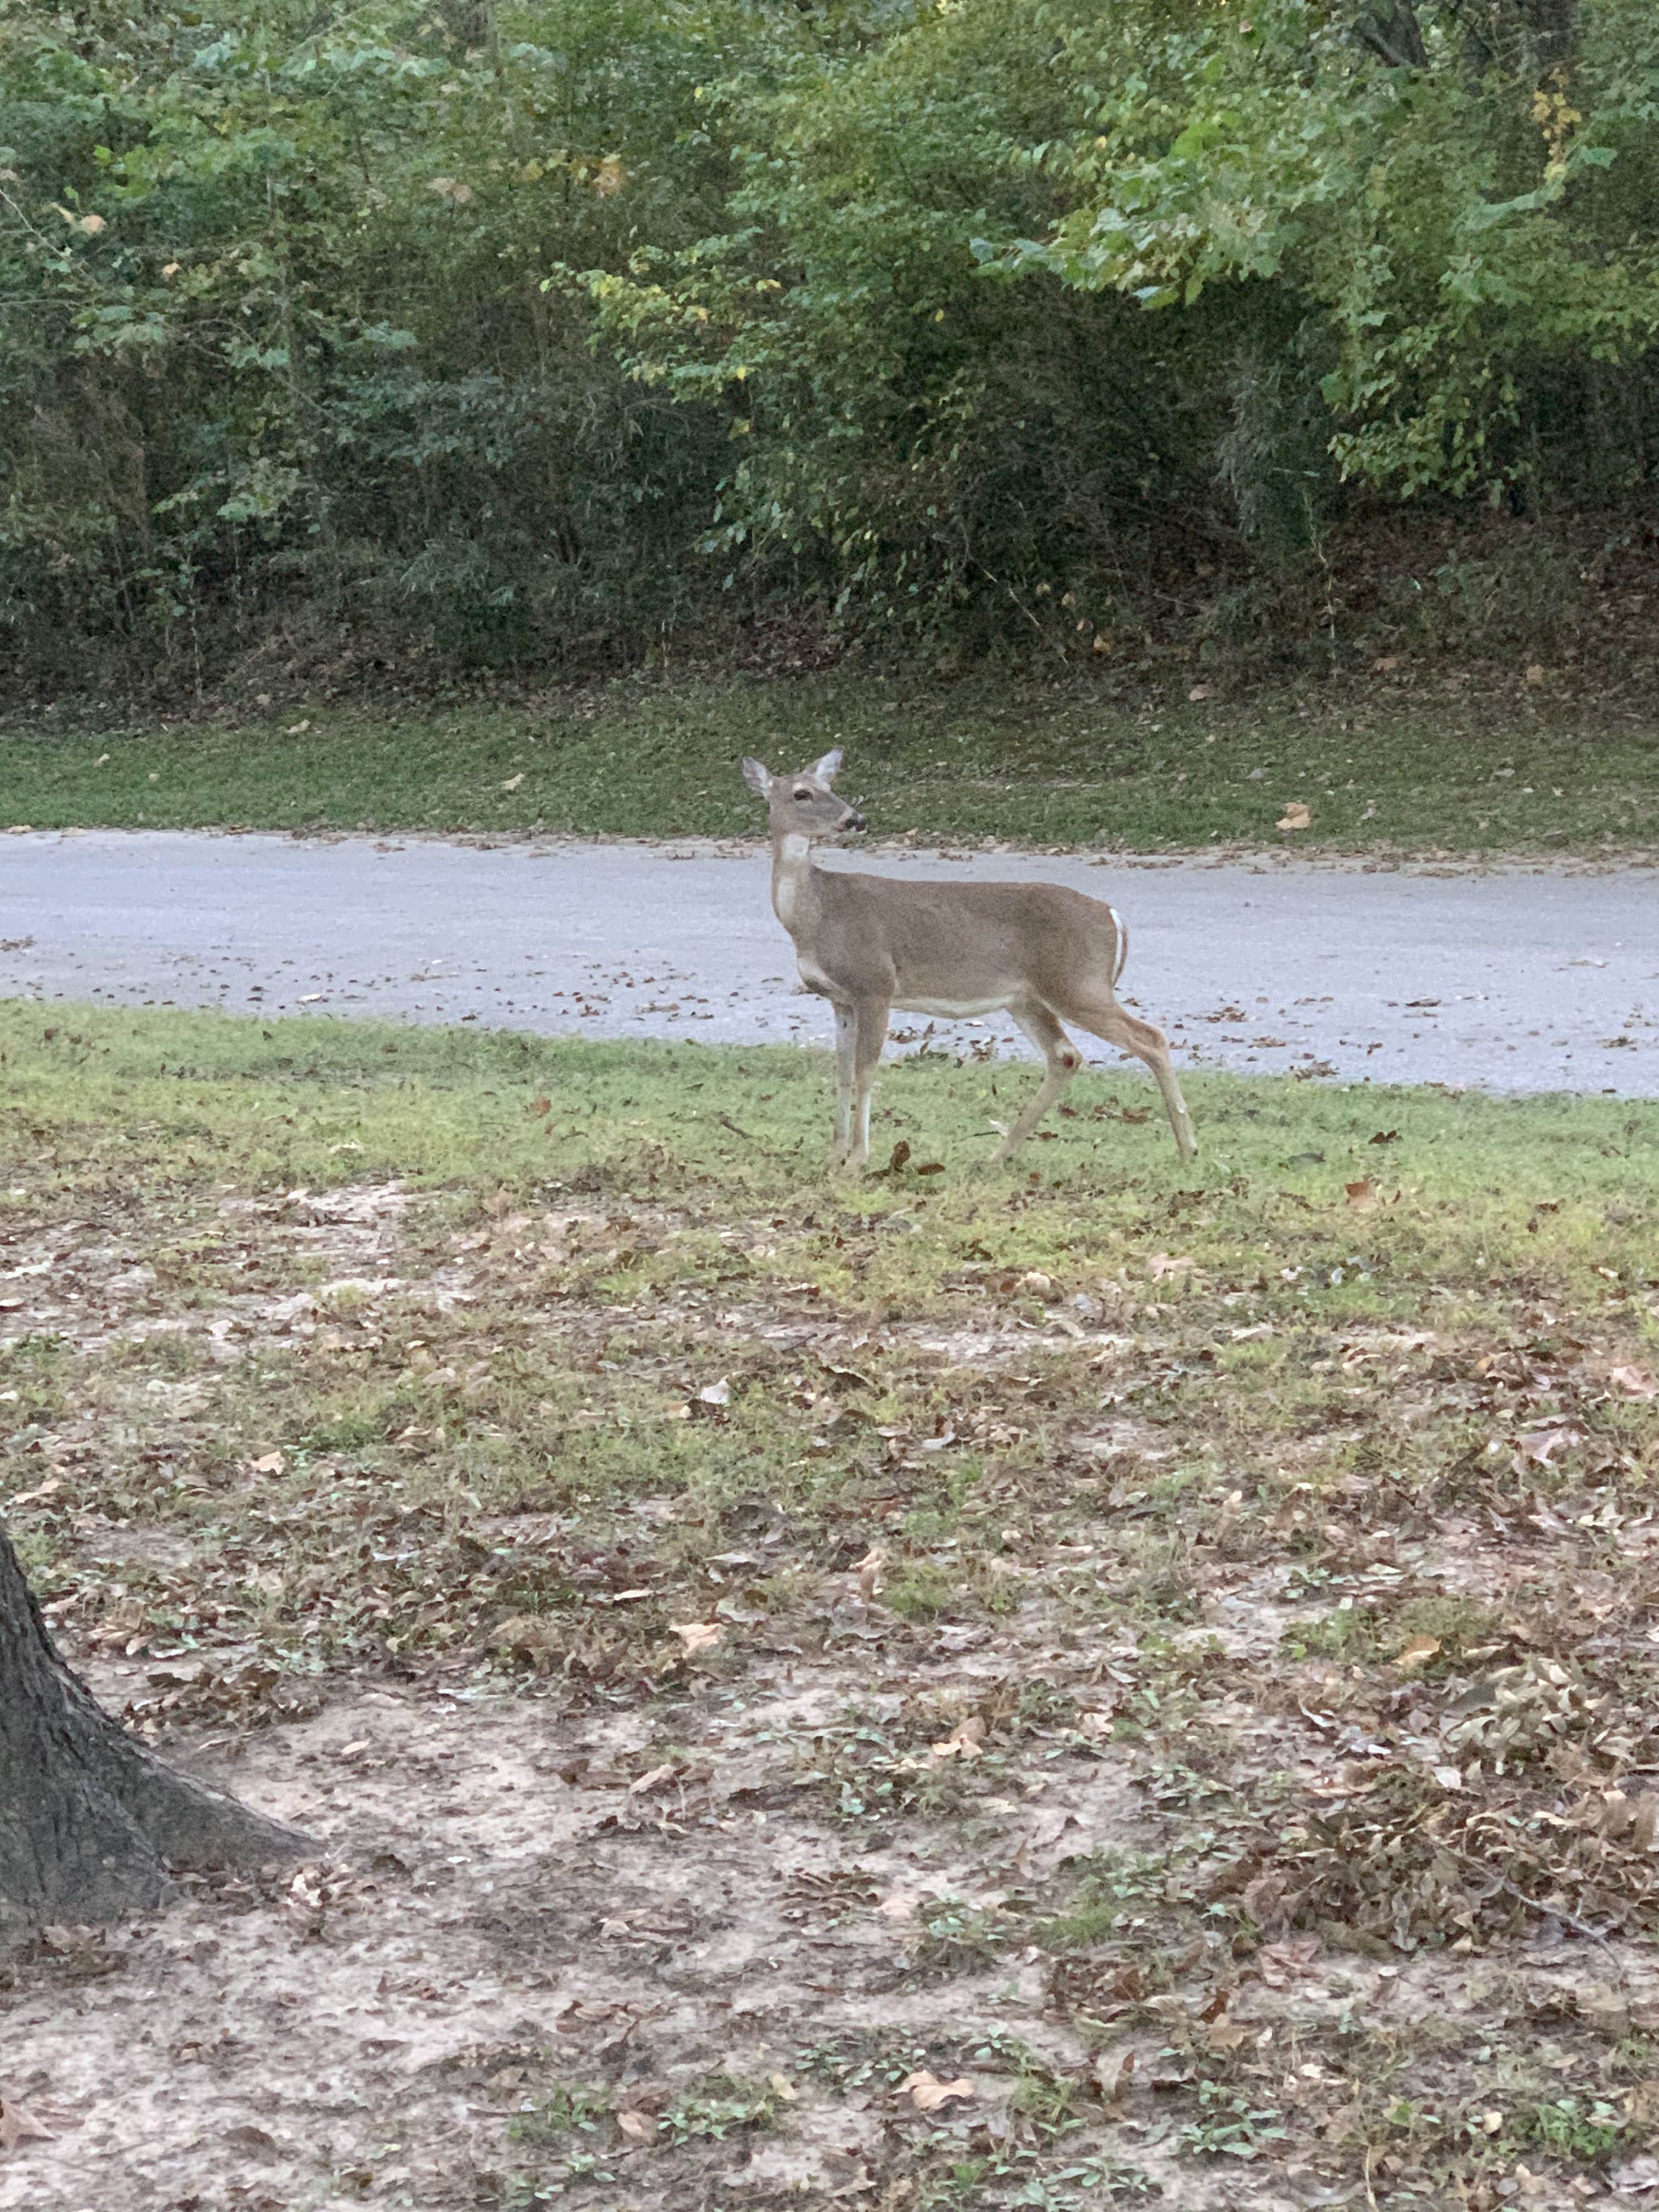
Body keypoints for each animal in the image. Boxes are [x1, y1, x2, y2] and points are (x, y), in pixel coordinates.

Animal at [738, 752, 1194, 1177]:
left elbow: (867, 1072)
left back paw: (1187, 1148)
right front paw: (833, 1157)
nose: (856, 819)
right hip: (1028, 998)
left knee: (1151, 1038)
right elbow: (842, 1073)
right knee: (1065, 1055)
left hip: (1077, 983)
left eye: (830, 787)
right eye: (802, 793)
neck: (818, 914)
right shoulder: (840, 999)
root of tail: (1113, 915)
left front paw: (857, 1161)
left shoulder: (876, 985)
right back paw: (997, 1154)